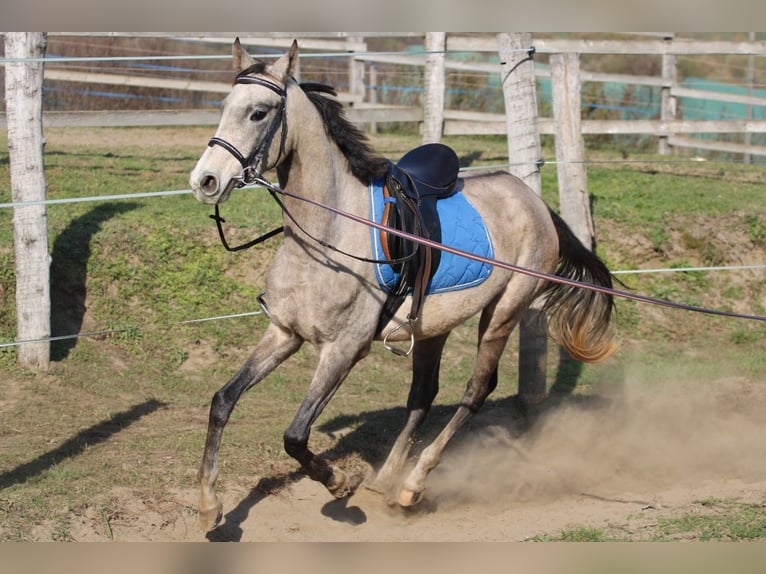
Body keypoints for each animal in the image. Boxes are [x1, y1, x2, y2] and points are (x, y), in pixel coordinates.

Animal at [190, 39, 616, 536]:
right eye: (224, 107)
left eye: (258, 112)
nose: (205, 181)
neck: (328, 233)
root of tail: (534, 201)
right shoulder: (284, 333)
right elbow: (222, 401)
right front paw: (209, 506)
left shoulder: (345, 349)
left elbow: (295, 436)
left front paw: (340, 484)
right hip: (432, 327)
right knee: (422, 396)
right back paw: (387, 482)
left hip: (504, 311)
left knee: (476, 389)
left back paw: (413, 484)